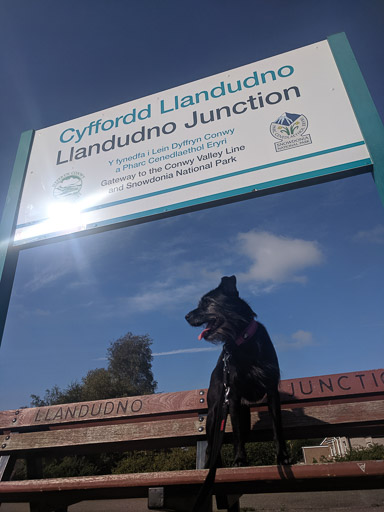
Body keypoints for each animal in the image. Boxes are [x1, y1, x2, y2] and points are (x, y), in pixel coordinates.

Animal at [185, 276, 288, 468]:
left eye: (207, 302)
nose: (186, 316)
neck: (244, 340)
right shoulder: (232, 396)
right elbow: (236, 434)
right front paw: (239, 459)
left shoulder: (272, 391)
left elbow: (277, 427)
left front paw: (282, 457)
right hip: (213, 414)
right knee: (211, 445)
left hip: (244, 416)